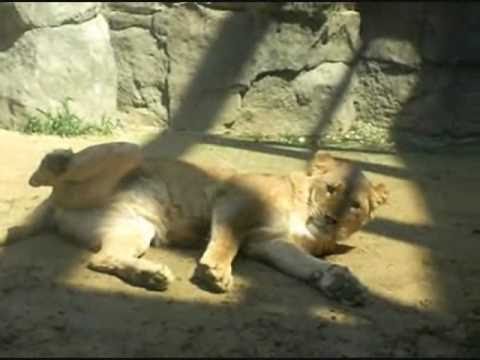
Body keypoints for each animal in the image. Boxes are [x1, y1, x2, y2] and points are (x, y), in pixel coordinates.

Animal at [3, 142, 388, 306]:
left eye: (355, 205)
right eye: (331, 188)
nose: (331, 219)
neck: (303, 218)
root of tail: (53, 206)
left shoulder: (268, 242)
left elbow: (304, 264)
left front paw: (340, 283)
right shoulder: (234, 200)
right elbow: (226, 241)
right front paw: (214, 272)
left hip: (132, 228)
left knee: (101, 258)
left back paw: (152, 276)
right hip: (126, 152)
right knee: (54, 174)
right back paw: (55, 160)